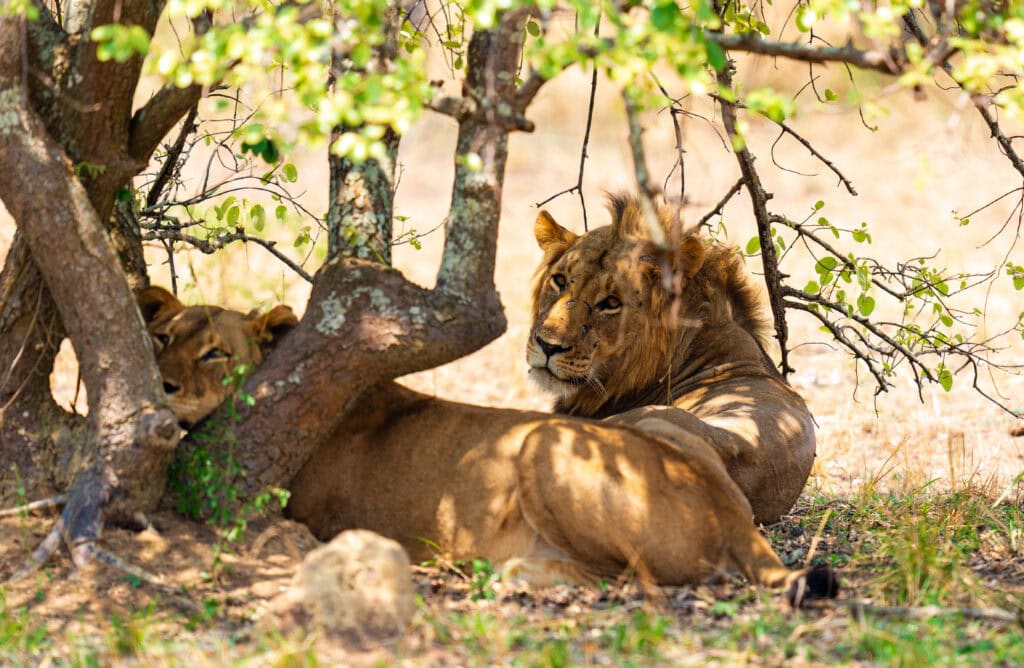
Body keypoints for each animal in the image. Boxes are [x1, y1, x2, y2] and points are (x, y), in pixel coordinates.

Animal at [138, 286, 836, 602]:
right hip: (658, 424)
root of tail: (726, 509)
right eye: (163, 338)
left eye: (216, 353)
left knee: (633, 583)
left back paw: (509, 573)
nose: (163, 385)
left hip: (543, 445)